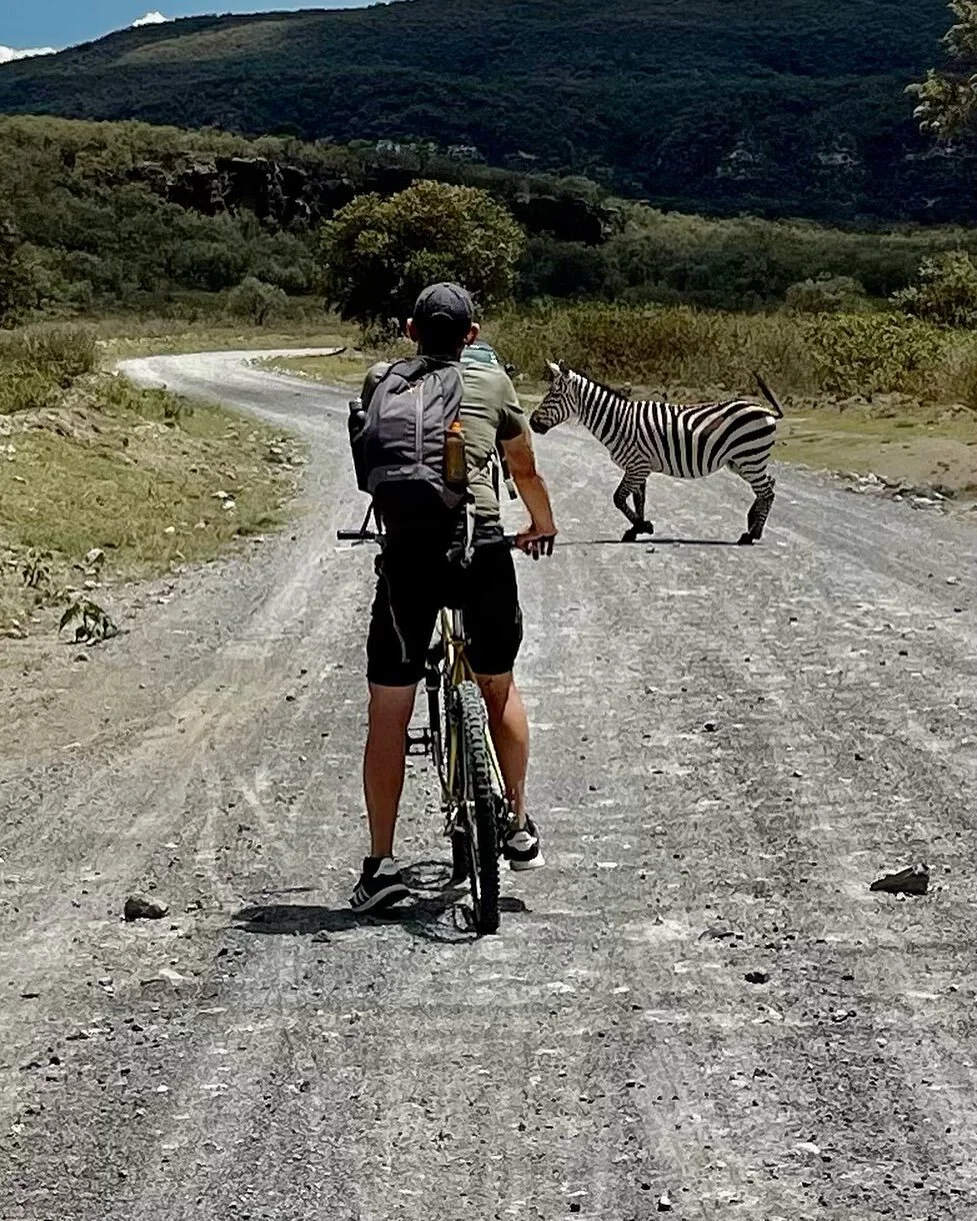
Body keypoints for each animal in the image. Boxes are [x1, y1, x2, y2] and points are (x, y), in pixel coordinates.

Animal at [530, 358, 781, 547]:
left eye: (553, 395)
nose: (532, 423)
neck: (617, 421)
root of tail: (767, 411)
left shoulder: (637, 466)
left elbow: (618, 498)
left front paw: (643, 527)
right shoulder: (639, 467)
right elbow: (638, 500)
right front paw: (636, 529)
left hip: (749, 457)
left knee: (767, 492)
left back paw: (751, 534)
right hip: (743, 461)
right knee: (768, 485)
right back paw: (751, 526)